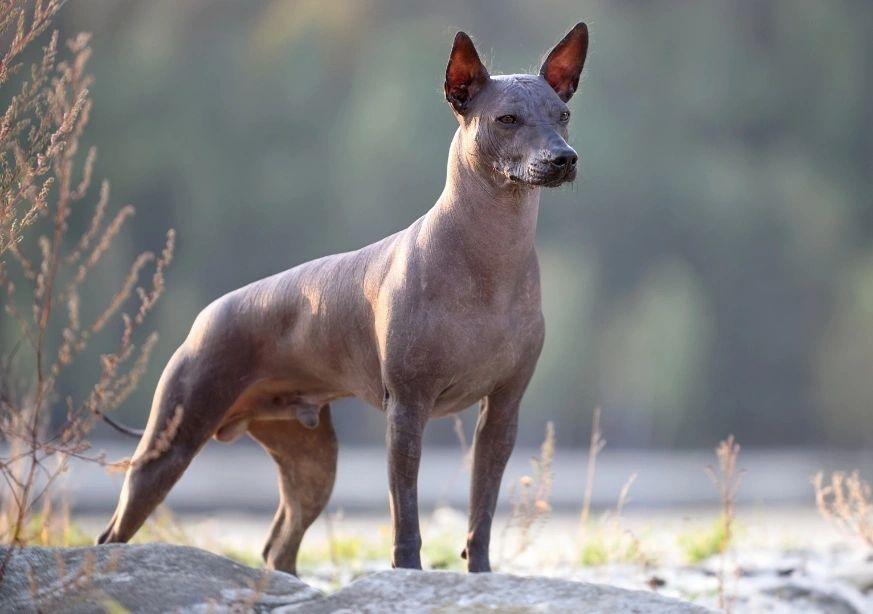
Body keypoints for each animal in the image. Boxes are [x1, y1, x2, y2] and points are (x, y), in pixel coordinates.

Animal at [99, 20, 588, 576]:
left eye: (564, 116)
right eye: (507, 119)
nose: (563, 158)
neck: (490, 258)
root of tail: (205, 317)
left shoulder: (503, 412)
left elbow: (480, 510)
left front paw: (480, 575)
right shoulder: (407, 411)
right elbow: (406, 515)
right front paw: (409, 574)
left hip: (312, 462)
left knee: (279, 545)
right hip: (171, 444)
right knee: (114, 533)